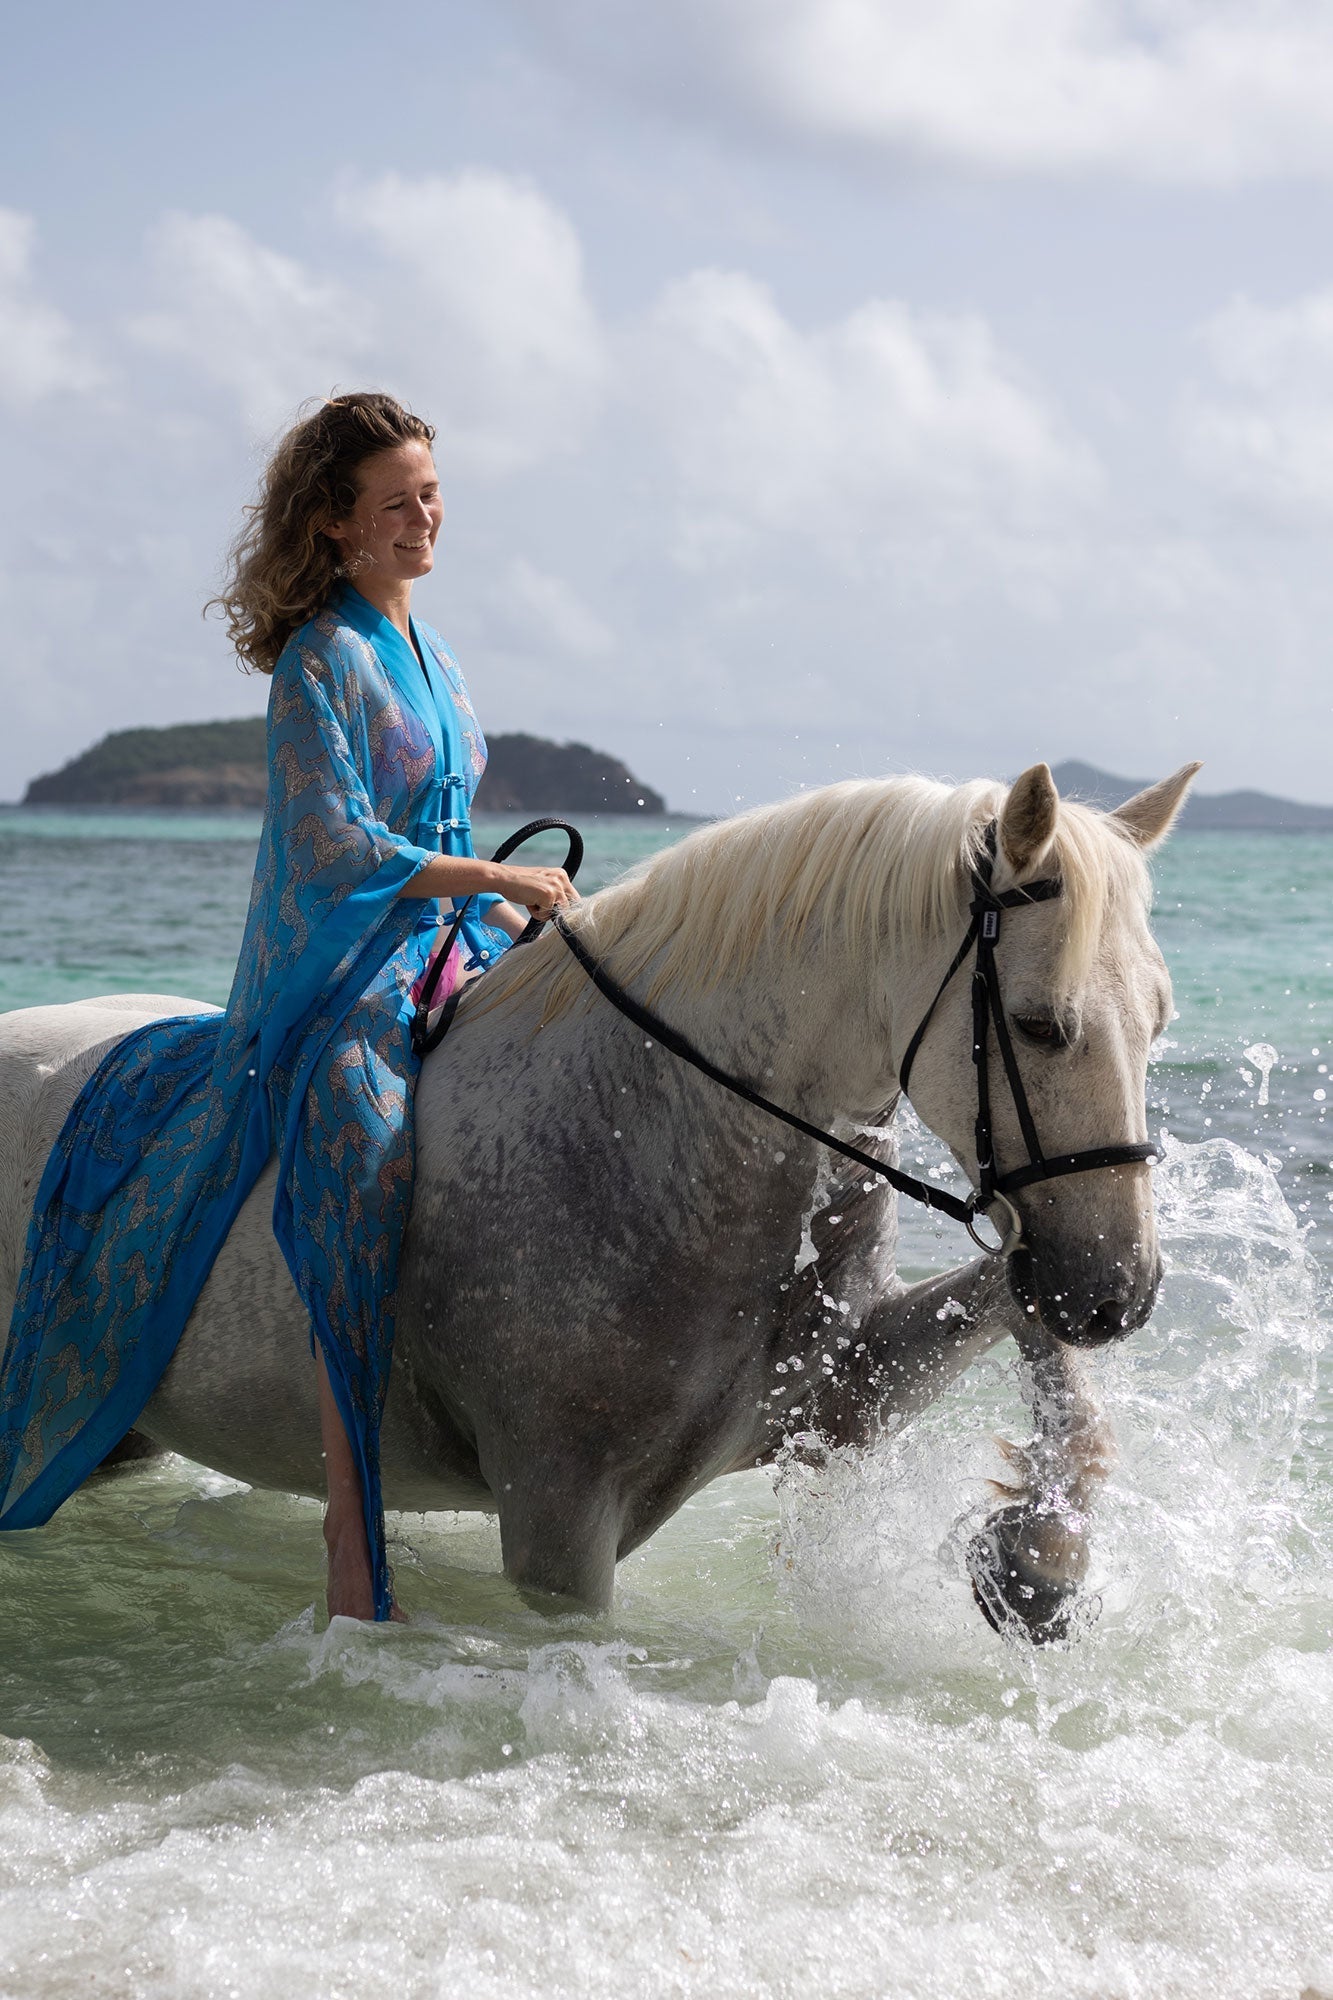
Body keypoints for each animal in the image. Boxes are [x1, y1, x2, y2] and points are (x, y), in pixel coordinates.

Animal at [0, 760, 1197, 1641]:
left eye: (1159, 1017)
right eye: (1040, 1024)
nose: (1120, 1291)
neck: (656, 1128)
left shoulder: (843, 1397)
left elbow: (1018, 1306)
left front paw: (1041, 1562)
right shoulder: (558, 1520)